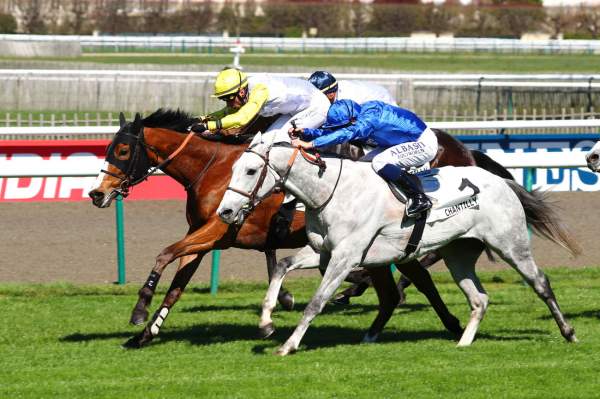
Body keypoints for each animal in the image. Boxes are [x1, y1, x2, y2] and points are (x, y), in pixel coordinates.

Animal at [88, 109, 510, 350]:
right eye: (107, 149)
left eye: (122, 151)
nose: (97, 193)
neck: (215, 168)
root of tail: (465, 151)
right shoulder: (205, 235)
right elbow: (177, 285)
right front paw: (145, 333)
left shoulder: (219, 230)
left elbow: (164, 254)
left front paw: (140, 310)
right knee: (402, 285)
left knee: (417, 276)